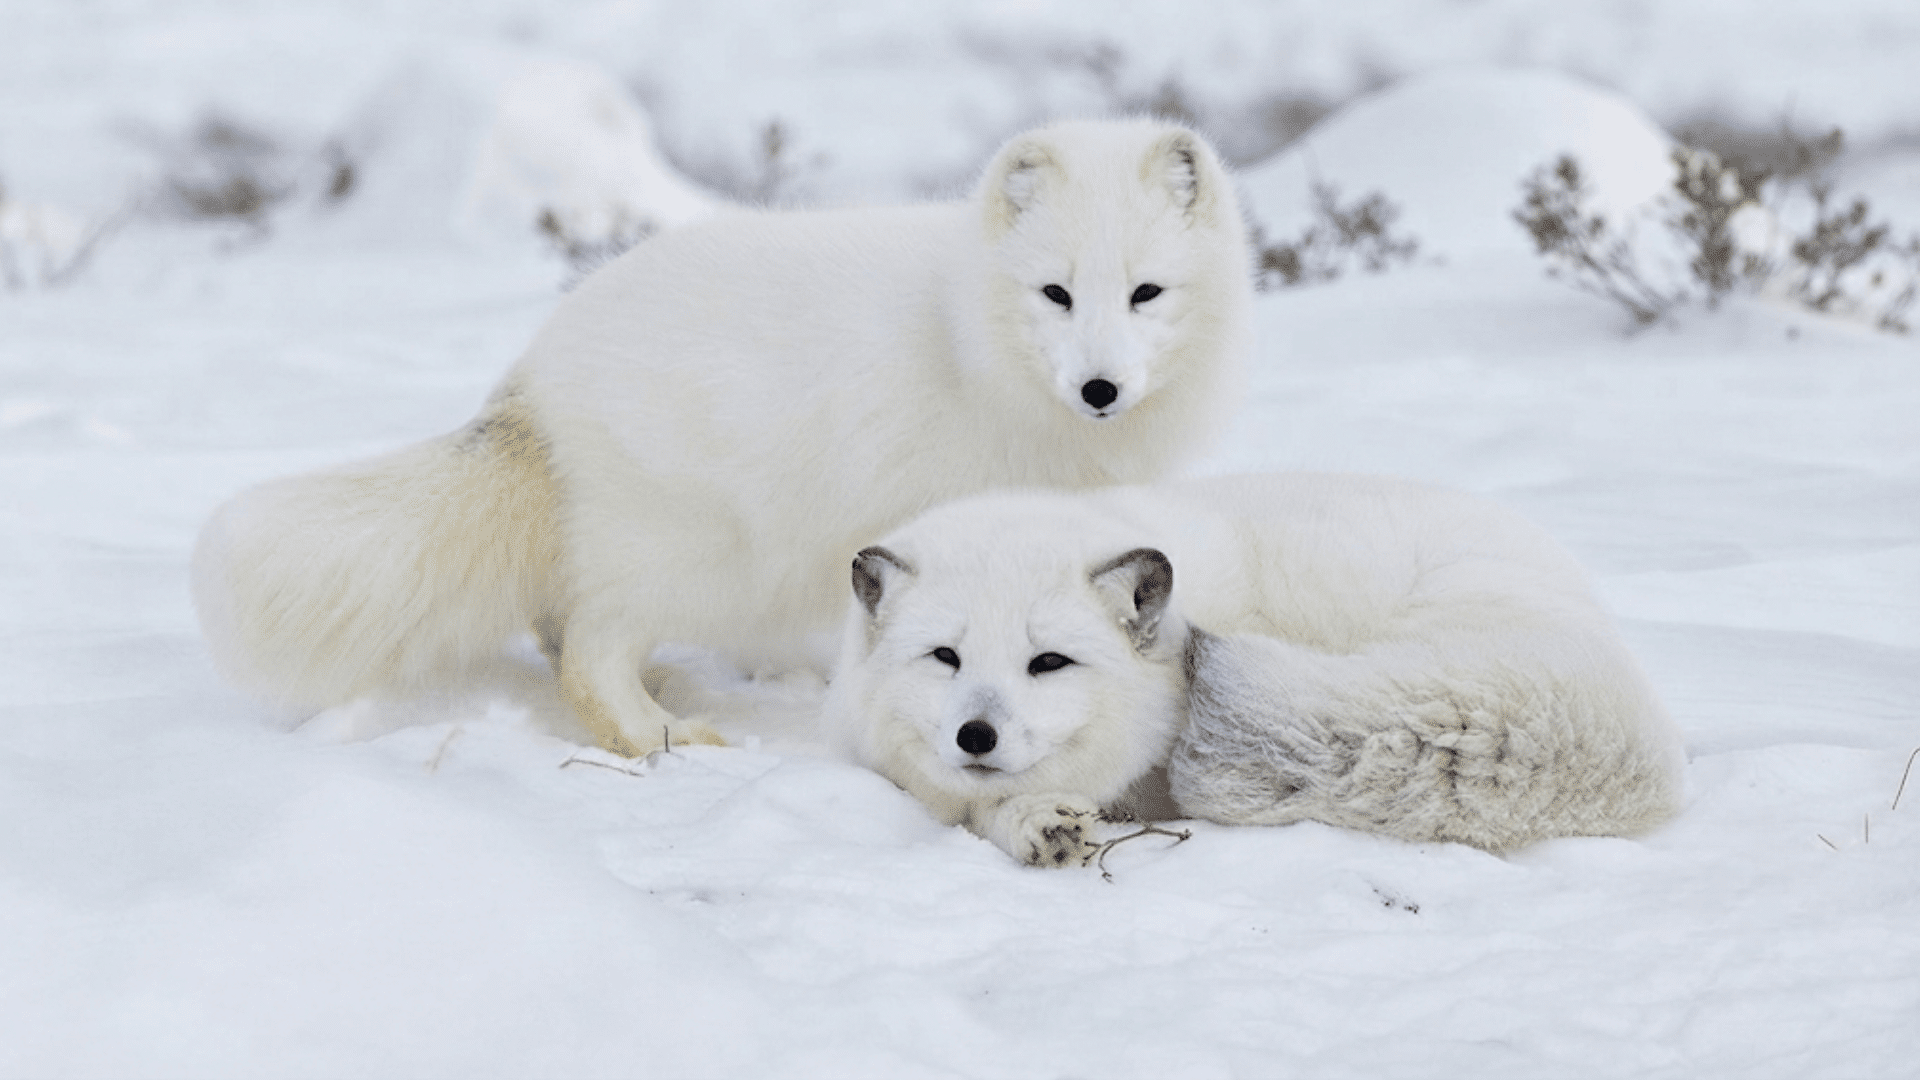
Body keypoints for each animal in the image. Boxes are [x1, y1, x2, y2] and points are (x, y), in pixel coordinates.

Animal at [192, 119, 1254, 755]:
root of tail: (534, 372)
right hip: (696, 553)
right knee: (587, 649)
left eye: (1147, 292)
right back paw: (659, 736)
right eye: (1056, 294)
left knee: (559, 625)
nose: (1101, 388)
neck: (968, 337)